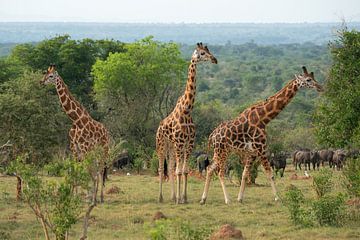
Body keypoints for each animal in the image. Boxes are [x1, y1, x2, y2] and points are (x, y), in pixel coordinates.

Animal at [40, 63, 109, 202]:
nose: (41, 82)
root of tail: (106, 131)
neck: (76, 120)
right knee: (97, 169)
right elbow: (75, 169)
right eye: (44, 74)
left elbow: (87, 170)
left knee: (100, 169)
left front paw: (88, 197)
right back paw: (96, 195)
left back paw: (100, 197)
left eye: (51, 76)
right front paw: (75, 195)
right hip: (94, 151)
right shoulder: (74, 147)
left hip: (104, 149)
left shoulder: (84, 147)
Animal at [157, 42, 217, 203]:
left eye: (208, 50)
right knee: (161, 168)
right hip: (161, 145)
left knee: (171, 167)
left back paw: (172, 197)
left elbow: (183, 171)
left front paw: (183, 198)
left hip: (171, 147)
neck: (187, 109)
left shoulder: (189, 144)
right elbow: (179, 171)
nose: (214, 59)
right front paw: (180, 199)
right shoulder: (179, 143)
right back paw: (161, 197)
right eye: (202, 53)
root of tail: (159, 126)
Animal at [200, 66, 324, 204]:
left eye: (313, 77)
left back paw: (203, 199)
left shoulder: (252, 152)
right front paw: (278, 198)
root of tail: (212, 135)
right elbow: (270, 173)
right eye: (308, 79)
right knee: (220, 172)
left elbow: (244, 174)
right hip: (222, 151)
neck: (263, 118)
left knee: (210, 169)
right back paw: (227, 200)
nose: (320, 87)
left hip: (221, 151)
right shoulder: (261, 149)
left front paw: (240, 198)